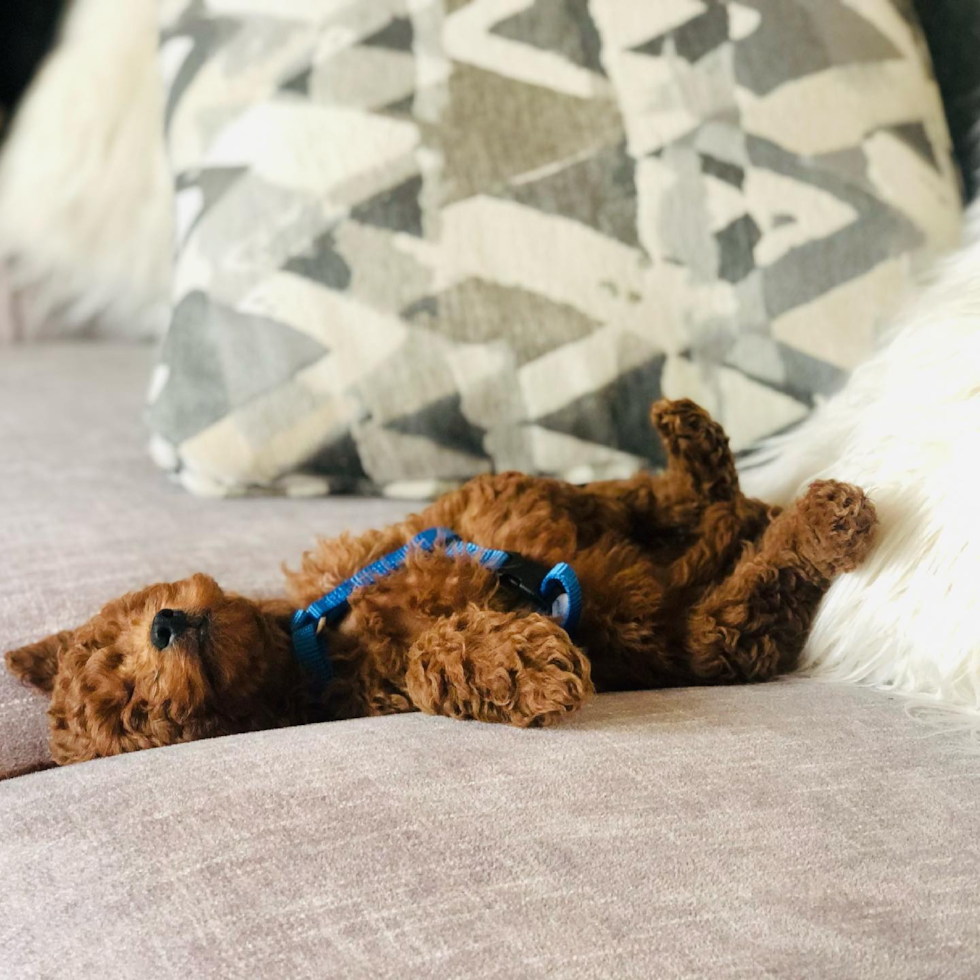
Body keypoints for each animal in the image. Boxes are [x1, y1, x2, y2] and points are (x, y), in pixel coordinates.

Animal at [3, 398, 876, 764]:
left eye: (128, 620)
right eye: (138, 712)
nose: (165, 625)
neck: (315, 632)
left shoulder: (502, 506)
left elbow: (606, 496)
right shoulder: (692, 642)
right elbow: (435, 662)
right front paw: (522, 665)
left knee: (712, 509)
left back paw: (695, 440)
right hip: (704, 635)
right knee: (743, 573)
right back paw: (818, 516)